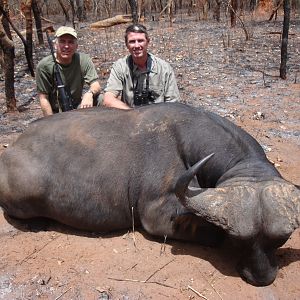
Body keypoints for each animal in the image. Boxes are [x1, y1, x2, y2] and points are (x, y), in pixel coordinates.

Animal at [0, 103, 300, 286]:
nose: (261, 277)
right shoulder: (156, 217)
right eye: (239, 241)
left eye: (281, 239)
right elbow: (212, 236)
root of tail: (14, 145)